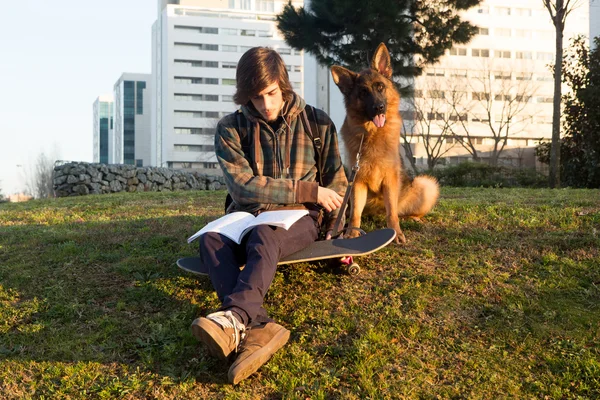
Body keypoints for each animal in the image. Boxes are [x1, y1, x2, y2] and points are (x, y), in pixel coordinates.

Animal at [330, 43, 438, 244]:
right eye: (363, 92)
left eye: (380, 87)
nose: (379, 107)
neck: (372, 133)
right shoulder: (357, 183)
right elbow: (355, 213)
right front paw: (351, 233)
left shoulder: (389, 181)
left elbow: (392, 213)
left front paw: (396, 232)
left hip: (426, 185)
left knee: (403, 211)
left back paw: (413, 218)